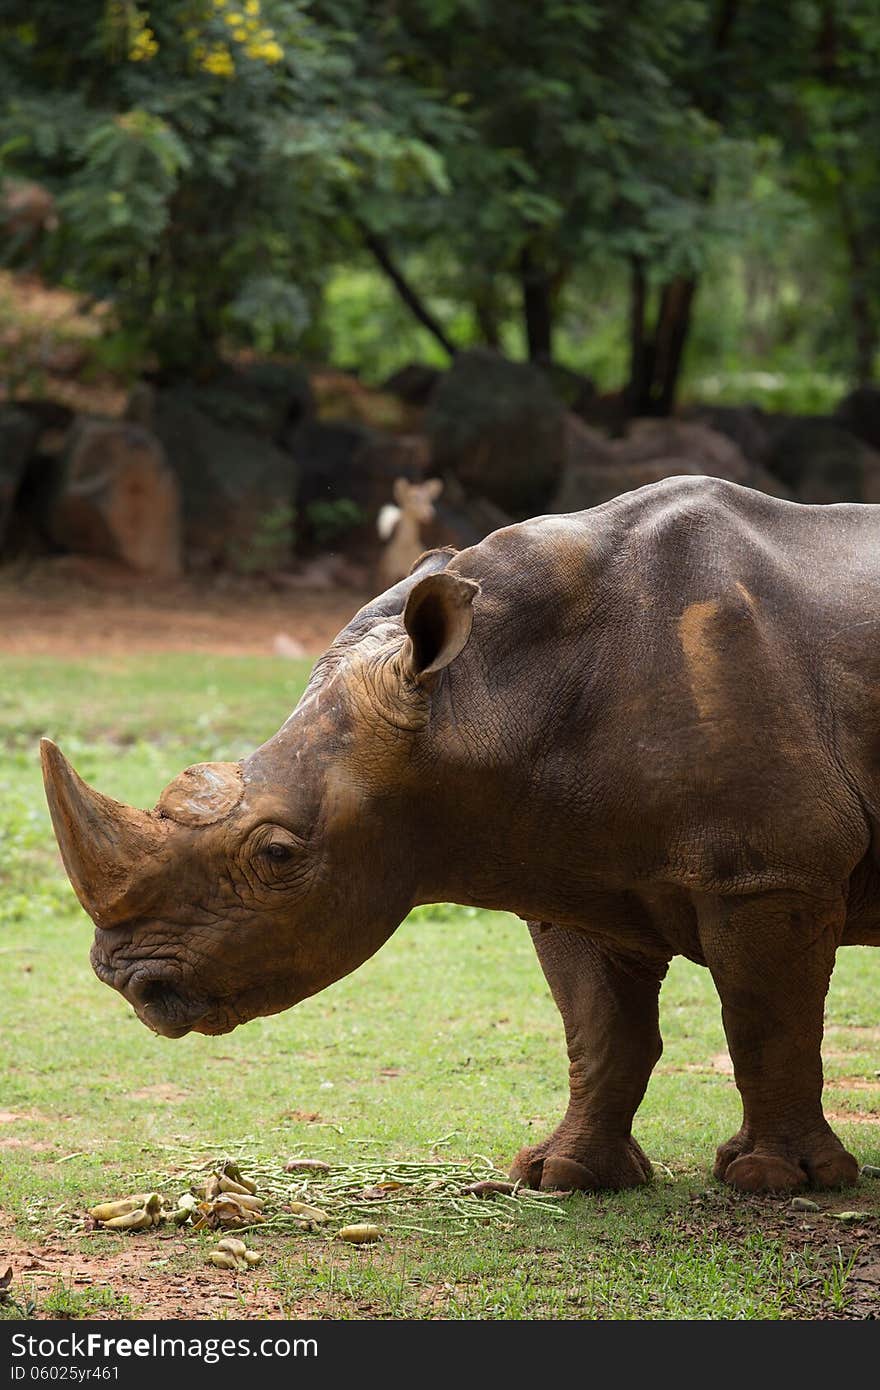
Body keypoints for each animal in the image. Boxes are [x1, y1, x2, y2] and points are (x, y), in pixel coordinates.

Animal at [42, 478, 878, 1195]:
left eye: (278, 855)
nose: (126, 980)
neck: (483, 696)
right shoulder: (577, 867)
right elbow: (601, 1031)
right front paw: (561, 1176)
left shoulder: (772, 870)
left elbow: (766, 1023)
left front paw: (777, 1182)